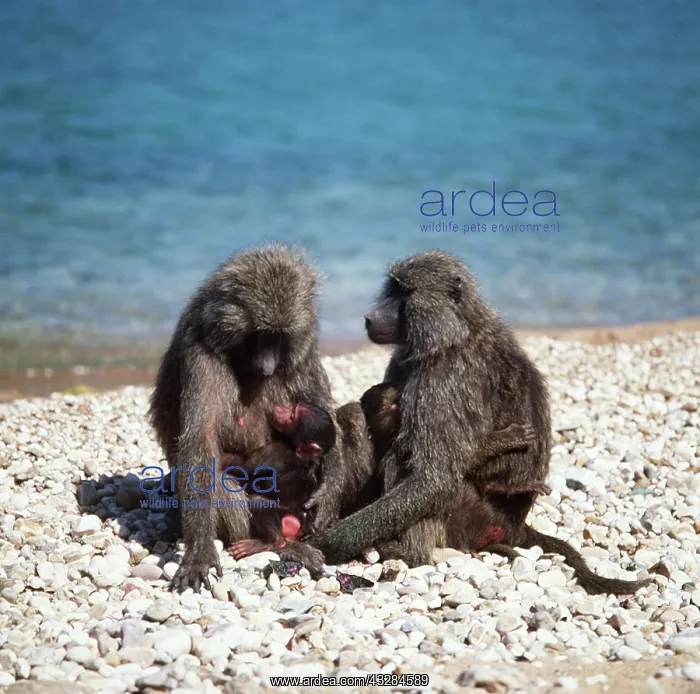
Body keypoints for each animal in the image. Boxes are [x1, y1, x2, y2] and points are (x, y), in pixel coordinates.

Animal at [148, 243, 343, 592]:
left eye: (280, 336)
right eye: (260, 333)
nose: (267, 365)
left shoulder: (303, 351)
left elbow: (323, 409)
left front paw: (329, 492)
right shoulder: (201, 352)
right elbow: (201, 439)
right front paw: (199, 551)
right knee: (220, 476)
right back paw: (281, 545)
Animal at [284, 251, 650, 595]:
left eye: (404, 292)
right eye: (391, 288)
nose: (369, 317)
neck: (456, 331)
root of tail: (516, 526)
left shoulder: (445, 377)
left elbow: (434, 479)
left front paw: (325, 544)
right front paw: (325, 503)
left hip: (471, 518)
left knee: (404, 461)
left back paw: (405, 553)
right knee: (358, 419)